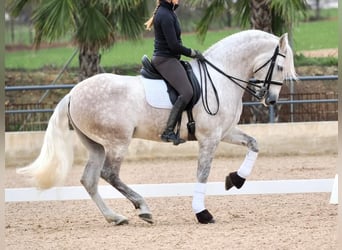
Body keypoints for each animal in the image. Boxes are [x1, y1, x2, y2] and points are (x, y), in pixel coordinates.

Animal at [18, 29, 296, 225]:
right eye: (280, 66)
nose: (271, 100)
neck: (221, 77)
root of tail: (73, 93)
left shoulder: (224, 132)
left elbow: (254, 144)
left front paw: (235, 180)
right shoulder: (209, 138)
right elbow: (202, 173)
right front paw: (202, 213)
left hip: (96, 145)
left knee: (90, 180)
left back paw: (115, 217)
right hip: (117, 142)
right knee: (109, 174)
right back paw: (143, 208)